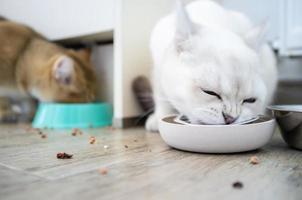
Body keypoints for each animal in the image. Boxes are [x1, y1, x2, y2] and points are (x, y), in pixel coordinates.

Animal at [146, 0, 278, 131]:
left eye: (250, 100)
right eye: (209, 92)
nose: (231, 118)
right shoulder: (158, 69)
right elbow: (160, 97)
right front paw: (159, 118)